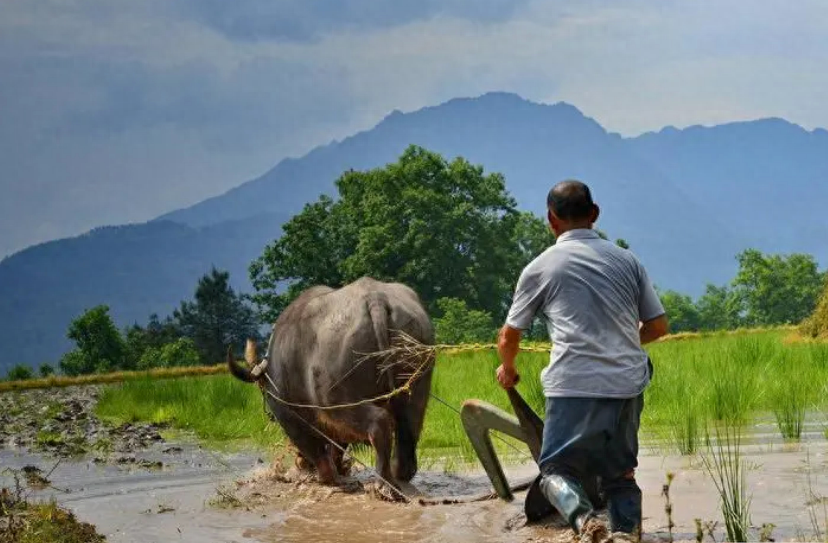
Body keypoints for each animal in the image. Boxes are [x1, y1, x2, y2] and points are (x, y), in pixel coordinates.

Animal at [226, 278, 434, 496]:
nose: (300, 463)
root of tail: (375, 299)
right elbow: (337, 444)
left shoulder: (290, 415)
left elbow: (315, 447)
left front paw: (328, 476)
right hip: (416, 386)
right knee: (408, 429)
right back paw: (398, 477)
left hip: (336, 400)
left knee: (380, 423)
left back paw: (383, 483)